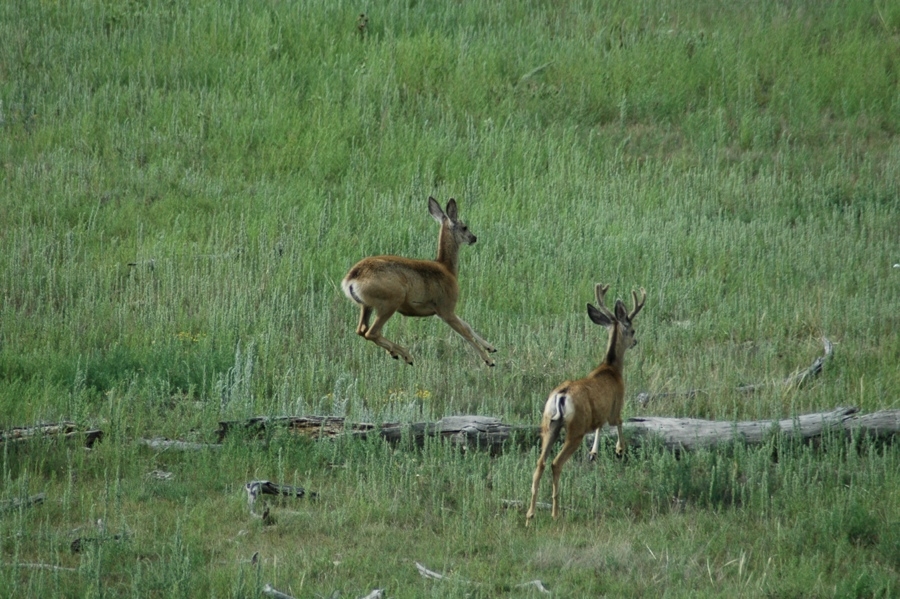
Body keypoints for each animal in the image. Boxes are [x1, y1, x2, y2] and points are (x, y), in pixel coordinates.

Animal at [342, 198, 500, 366]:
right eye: (464, 227)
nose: (474, 238)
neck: (447, 269)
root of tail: (350, 280)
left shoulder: (441, 310)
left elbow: (467, 325)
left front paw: (491, 347)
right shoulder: (445, 307)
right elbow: (464, 332)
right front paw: (489, 360)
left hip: (366, 305)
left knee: (361, 330)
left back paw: (395, 353)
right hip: (391, 300)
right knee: (371, 332)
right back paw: (406, 355)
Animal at [528, 284, 648, 524]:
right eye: (632, 330)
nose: (635, 341)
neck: (611, 369)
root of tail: (561, 396)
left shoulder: (599, 414)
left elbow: (600, 427)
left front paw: (594, 453)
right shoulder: (615, 406)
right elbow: (619, 422)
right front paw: (620, 449)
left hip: (548, 425)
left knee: (540, 463)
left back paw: (530, 514)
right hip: (575, 429)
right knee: (556, 463)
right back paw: (555, 512)